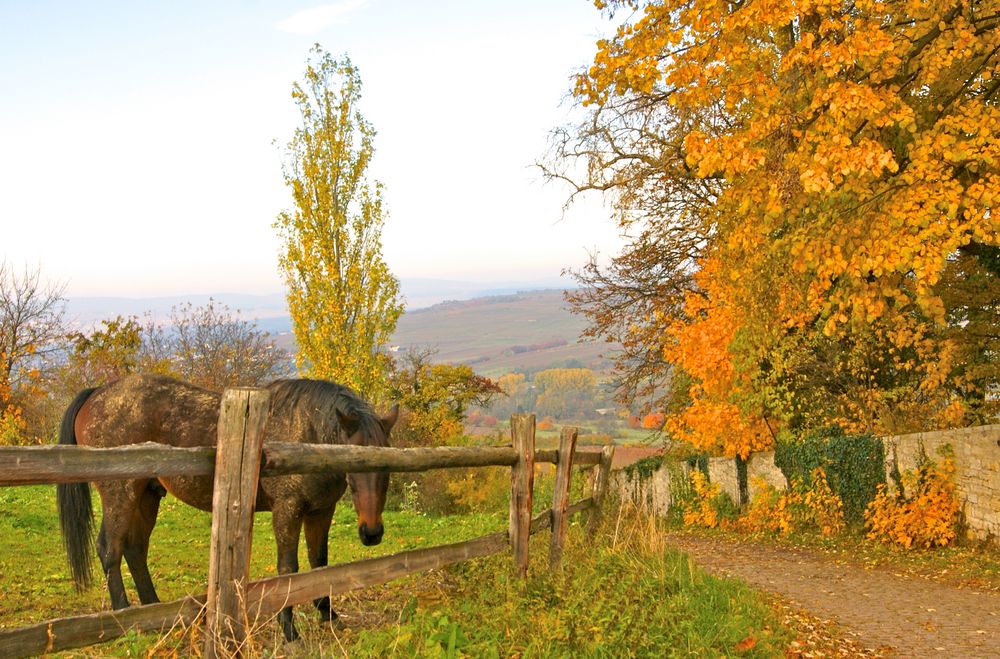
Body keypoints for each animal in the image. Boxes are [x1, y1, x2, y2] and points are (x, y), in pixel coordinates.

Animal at [55, 374, 398, 640]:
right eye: (355, 469)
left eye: (388, 468)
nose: (372, 533)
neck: (306, 434)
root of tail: (98, 393)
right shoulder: (287, 511)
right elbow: (288, 568)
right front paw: (289, 631)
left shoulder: (320, 511)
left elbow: (320, 562)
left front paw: (328, 615)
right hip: (120, 494)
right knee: (110, 549)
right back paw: (123, 618)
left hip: (147, 495)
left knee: (135, 549)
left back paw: (154, 613)